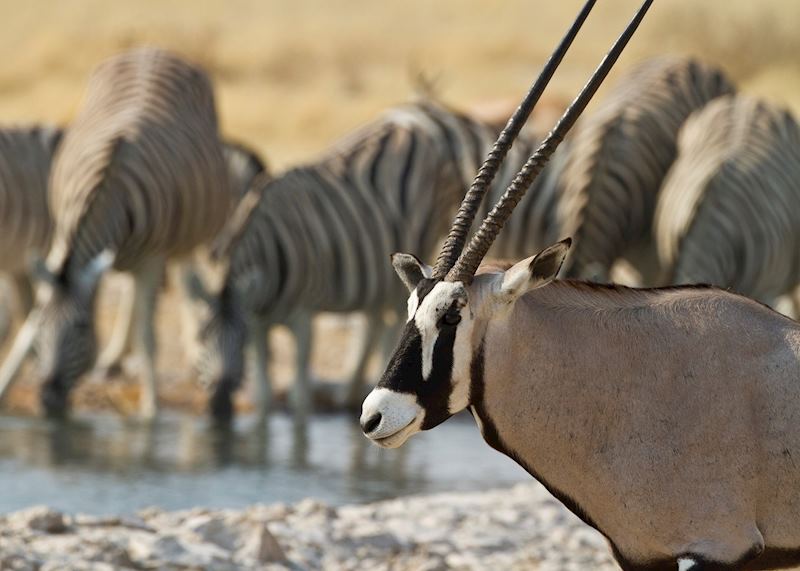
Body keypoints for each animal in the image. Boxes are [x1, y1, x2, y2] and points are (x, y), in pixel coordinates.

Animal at [188, 97, 568, 422]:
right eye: (200, 335)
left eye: (451, 318)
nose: (219, 405)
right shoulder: (260, 322)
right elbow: (265, 399)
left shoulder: (302, 316)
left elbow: (299, 400)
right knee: (373, 322)